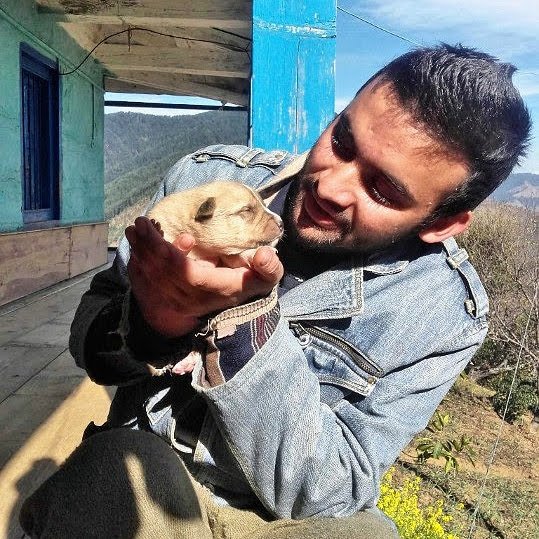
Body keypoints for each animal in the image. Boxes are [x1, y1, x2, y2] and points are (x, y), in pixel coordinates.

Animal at [117, 180, 282, 380]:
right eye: (246, 210)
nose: (281, 223)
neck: (200, 246)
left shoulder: (224, 258)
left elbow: (235, 256)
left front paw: (252, 255)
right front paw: (157, 229)